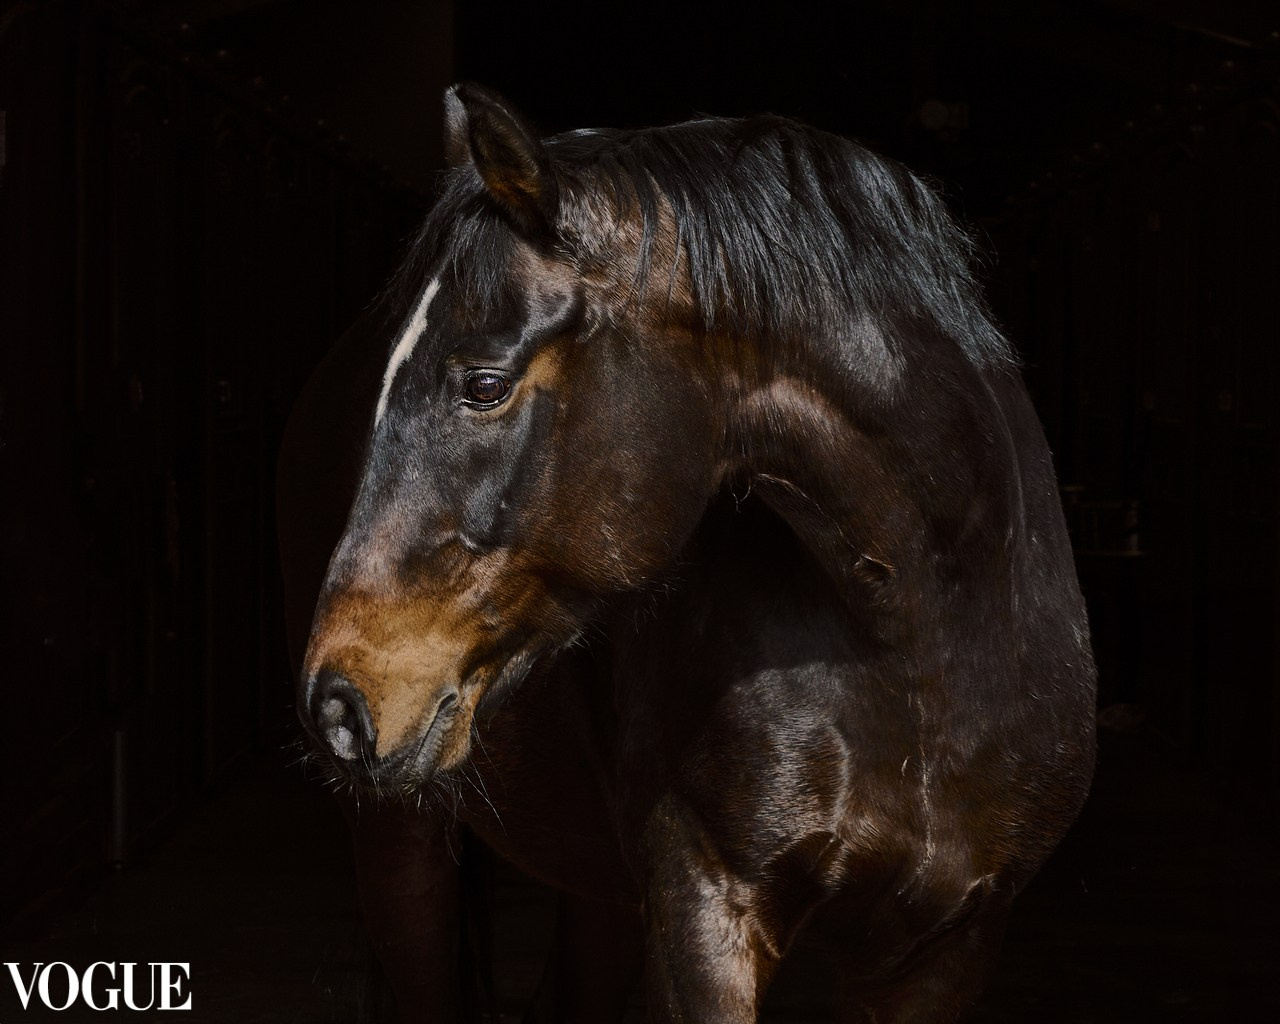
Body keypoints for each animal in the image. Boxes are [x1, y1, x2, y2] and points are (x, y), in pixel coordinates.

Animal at [284, 82, 1096, 1023]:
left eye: (484, 384)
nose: (337, 704)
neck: (930, 639)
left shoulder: (948, 950)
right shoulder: (705, 909)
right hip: (401, 846)